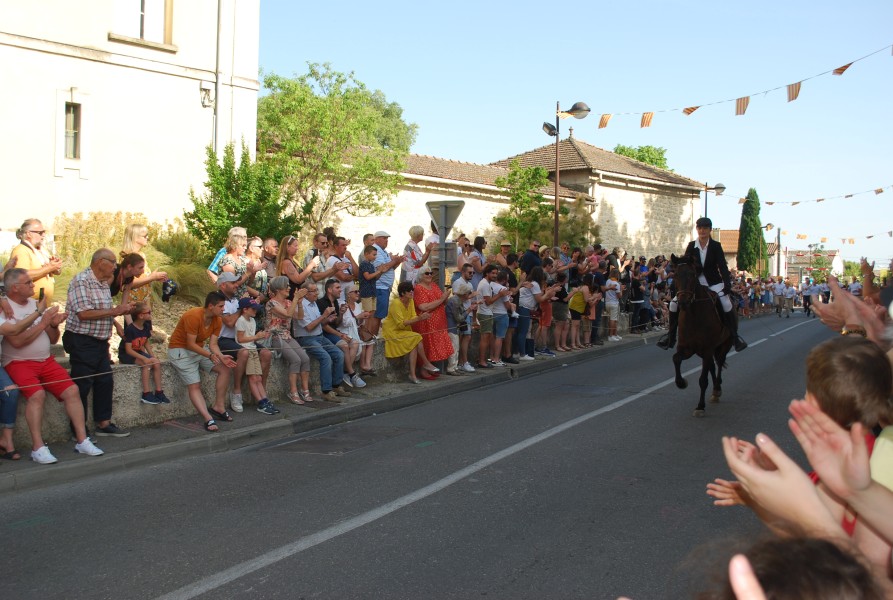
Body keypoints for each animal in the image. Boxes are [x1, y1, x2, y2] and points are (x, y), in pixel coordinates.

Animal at [668, 253, 732, 418]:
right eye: (675, 275)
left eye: (692, 275)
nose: (683, 302)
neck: (693, 315)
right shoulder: (686, 348)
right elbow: (675, 359)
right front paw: (681, 383)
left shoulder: (708, 349)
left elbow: (703, 379)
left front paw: (700, 406)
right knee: (712, 366)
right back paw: (715, 391)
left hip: (723, 345)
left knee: (719, 363)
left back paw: (717, 389)